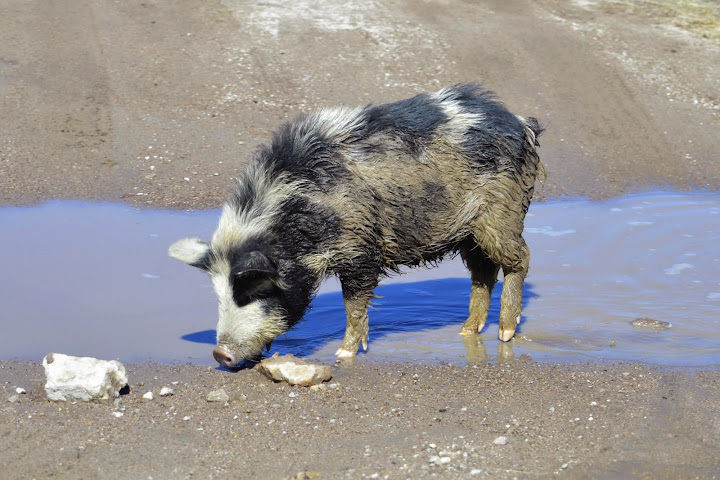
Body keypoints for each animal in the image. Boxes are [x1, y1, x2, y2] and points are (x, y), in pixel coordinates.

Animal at [169, 83, 544, 368]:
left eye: (255, 290)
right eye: (219, 294)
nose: (219, 353)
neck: (300, 216)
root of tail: (521, 123)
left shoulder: (360, 248)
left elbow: (354, 303)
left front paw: (343, 355)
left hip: (501, 214)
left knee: (520, 259)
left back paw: (505, 333)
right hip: (470, 233)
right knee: (483, 273)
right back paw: (467, 332)